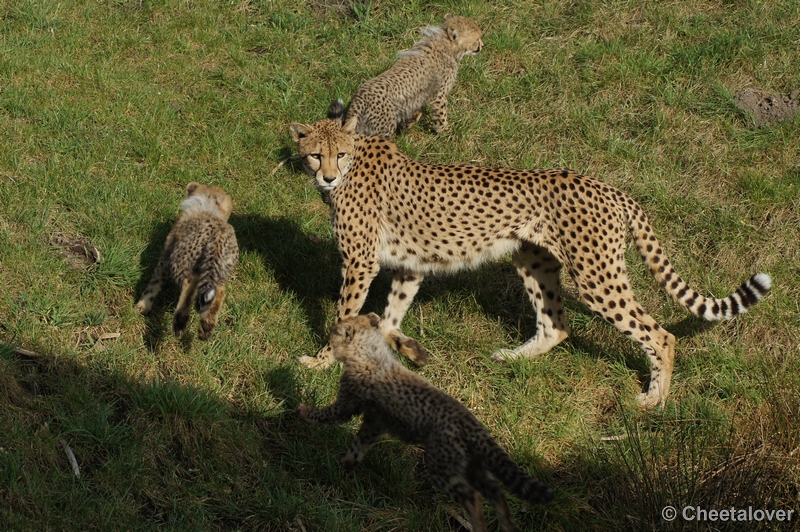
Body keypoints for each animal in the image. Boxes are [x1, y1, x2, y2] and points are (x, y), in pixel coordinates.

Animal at [290, 105, 768, 408]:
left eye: (339, 154)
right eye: (314, 155)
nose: (327, 178)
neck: (355, 160)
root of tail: (611, 189)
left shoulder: (360, 262)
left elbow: (344, 315)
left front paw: (321, 362)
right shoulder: (410, 265)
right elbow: (389, 319)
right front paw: (409, 352)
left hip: (596, 276)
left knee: (659, 334)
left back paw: (655, 399)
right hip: (533, 260)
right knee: (557, 324)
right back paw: (513, 357)